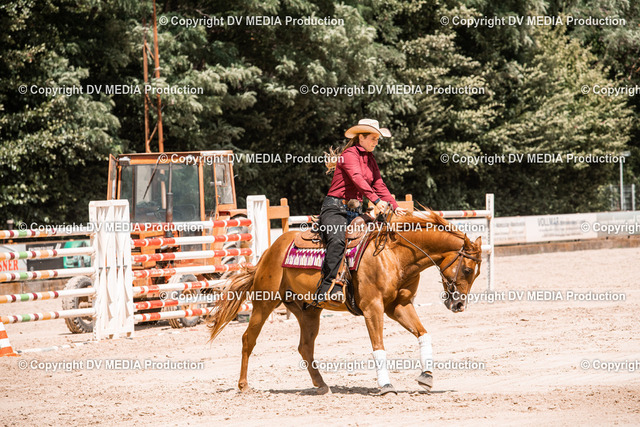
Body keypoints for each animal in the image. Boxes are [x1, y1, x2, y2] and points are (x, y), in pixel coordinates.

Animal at [207, 211, 483, 395]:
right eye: (468, 269)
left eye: (477, 273)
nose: (459, 305)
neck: (394, 254)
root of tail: (269, 251)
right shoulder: (373, 308)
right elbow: (378, 346)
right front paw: (386, 385)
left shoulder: (399, 306)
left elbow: (423, 334)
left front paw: (426, 377)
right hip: (265, 303)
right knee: (248, 339)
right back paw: (243, 386)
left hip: (308, 312)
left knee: (305, 347)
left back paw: (321, 385)